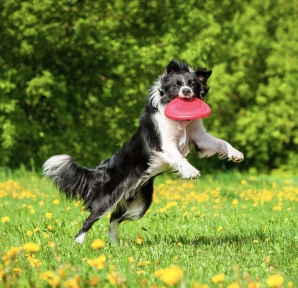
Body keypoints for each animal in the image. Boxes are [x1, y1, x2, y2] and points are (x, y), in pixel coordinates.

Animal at [44, 59, 244, 244]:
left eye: (193, 84)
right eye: (176, 85)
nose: (186, 91)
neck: (182, 123)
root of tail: (99, 170)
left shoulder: (199, 136)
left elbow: (220, 143)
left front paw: (235, 154)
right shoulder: (164, 143)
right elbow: (178, 157)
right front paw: (191, 171)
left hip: (140, 202)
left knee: (114, 218)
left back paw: (114, 244)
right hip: (108, 198)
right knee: (90, 220)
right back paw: (77, 244)